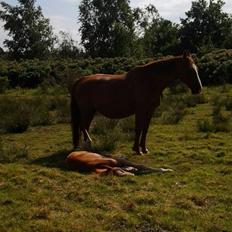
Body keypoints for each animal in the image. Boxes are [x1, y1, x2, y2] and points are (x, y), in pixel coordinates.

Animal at [70, 52, 201, 154]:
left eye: (196, 69)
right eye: (190, 70)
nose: (199, 89)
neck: (150, 80)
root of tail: (81, 79)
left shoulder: (150, 110)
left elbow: (145, 129)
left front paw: (144, 148)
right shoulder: (140, 110)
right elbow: (138, 128)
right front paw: (137, 149)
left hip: (90, 111)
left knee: (84, 127)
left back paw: (83, 146)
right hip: (86, 110)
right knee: (83, 126)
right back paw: (88, 143)